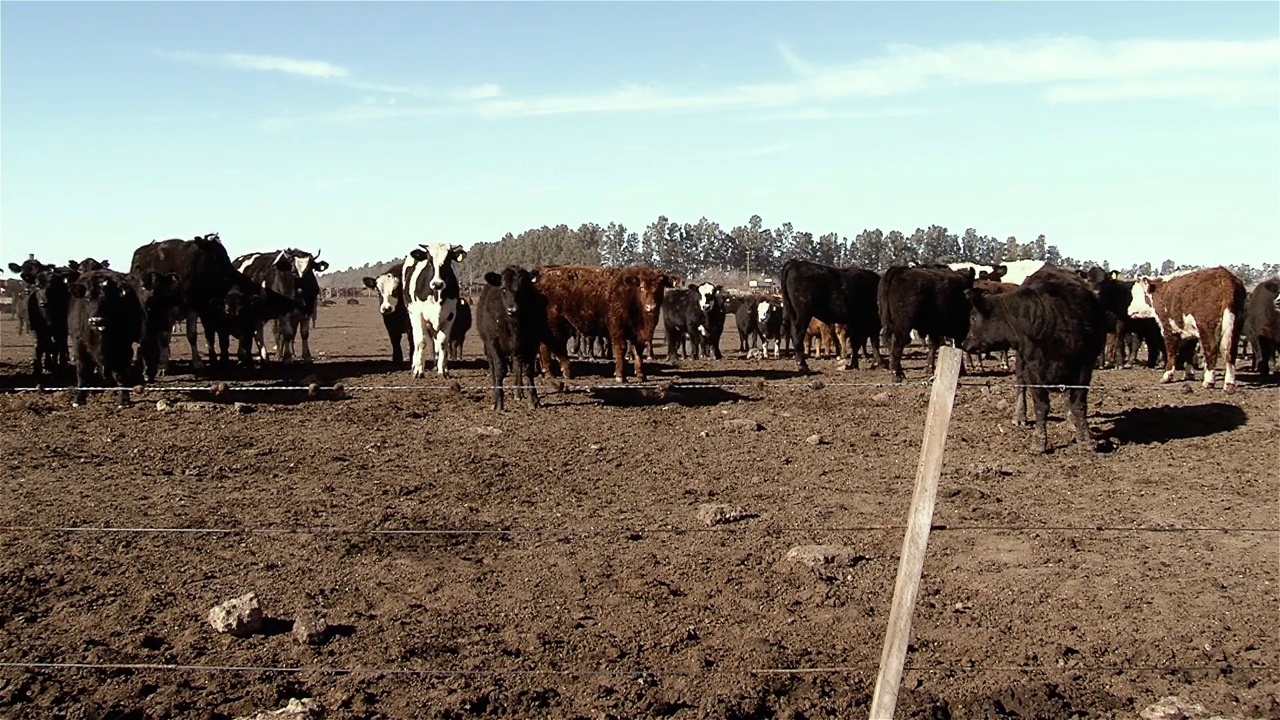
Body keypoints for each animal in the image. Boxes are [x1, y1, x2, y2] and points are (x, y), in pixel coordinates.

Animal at [67, 267, 144, 407]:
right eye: (87, 298)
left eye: (108, 299)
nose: (96, 320)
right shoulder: (79, 344)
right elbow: (83, 372)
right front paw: (78, 399)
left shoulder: (124, 347)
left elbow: (121, 374)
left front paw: (123, 400)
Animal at [401, 240, 468, 376]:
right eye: (429, 261)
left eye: (448, 261)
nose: (437, 283)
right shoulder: (418, 315)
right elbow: (421, 342)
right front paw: (418, 371)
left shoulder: (450, 316)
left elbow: (442, 343)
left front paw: (442, 370)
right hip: (413, 316)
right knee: (417, 340)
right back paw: (415, 365)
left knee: (436, 342)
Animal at [476, 265, 545, 412]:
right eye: (503, 289)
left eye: (523, 288)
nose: (512, 309)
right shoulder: (493, 343)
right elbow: (500, 370)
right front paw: (498, 402)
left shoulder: (532, 343)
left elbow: (528, 370)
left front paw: (534, 400)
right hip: (489, 348)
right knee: (493, 369)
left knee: (518, 367)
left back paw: (518, 393)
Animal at [535, 263, 670, 384]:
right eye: (642, 288)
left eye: (660, 288)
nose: (651, 307)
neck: (630, 295)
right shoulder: (617, 329)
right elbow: (621, 349)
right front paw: (620, 376)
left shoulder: (638, 334)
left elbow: (638, 351)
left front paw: (641, 375)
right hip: (553, 325)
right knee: (551, 346)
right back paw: (556, 372)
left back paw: (556, 372)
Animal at [962, 271, 1105, 450]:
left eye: (973, 318)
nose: (964, 344)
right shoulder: (1033, 368)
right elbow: (1041, 404)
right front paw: (1039, 442)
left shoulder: (1085, 366)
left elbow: (1078, 404)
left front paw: (1085, 439)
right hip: (1021, 362)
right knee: (1020, 385)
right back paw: (1019, 416)